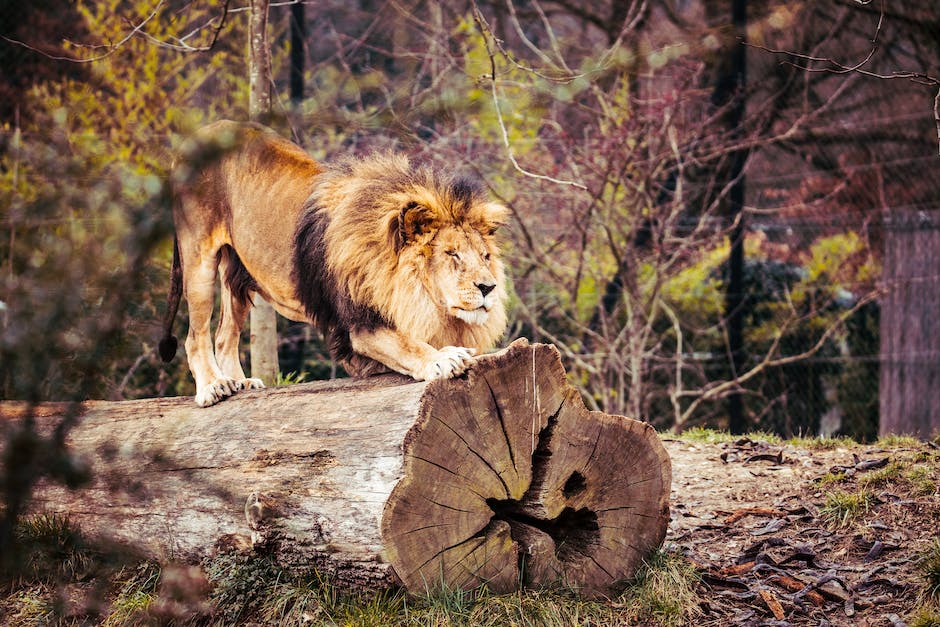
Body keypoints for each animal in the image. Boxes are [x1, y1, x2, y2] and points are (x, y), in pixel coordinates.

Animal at [162, 121, 516, 410]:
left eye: (485, 256)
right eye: (452, 254)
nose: (488, 287)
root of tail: (191, 140)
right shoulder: (360, 326)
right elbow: (407, 344)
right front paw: (443, 358)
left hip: (237, 274)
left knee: (225, 335)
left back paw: (242, 382)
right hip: (198, 259)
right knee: (195, 335)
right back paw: (212, 386)